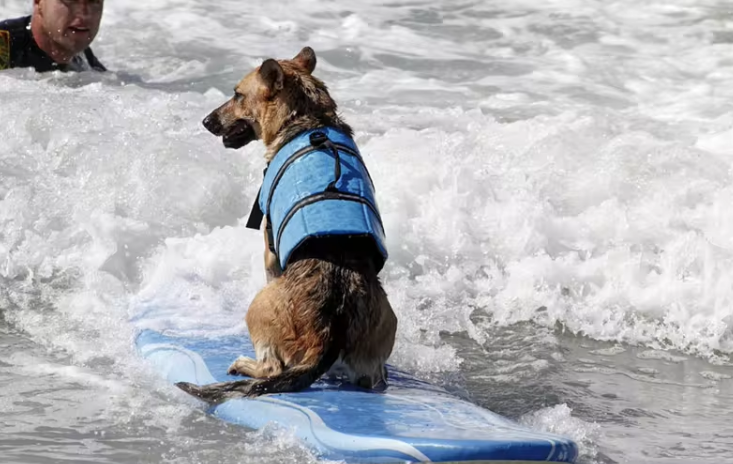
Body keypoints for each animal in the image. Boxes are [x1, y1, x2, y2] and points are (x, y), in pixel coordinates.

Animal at [175, 46, 398, 402]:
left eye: (237, 95)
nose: (206, 121)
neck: (309, 121)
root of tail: (331, 331)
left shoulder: (268, 250)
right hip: (380, 338)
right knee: (370, 377)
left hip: (257, 306)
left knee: (271, 369)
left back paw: (245, 364)